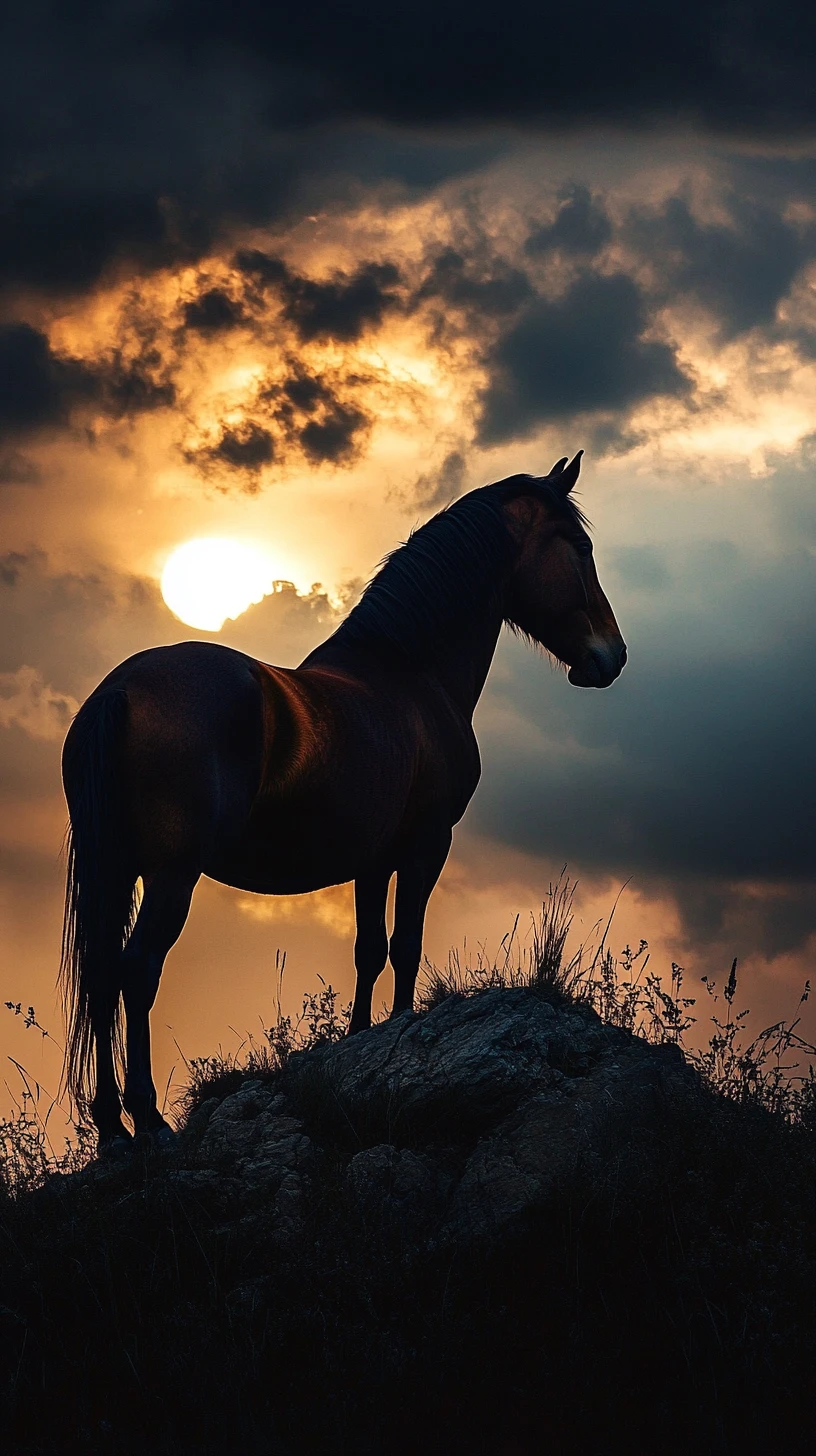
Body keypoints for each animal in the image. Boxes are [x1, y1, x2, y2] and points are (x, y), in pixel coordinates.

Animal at [60, 452, 626, 1151]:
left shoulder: (372, 861)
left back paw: (112, 1127)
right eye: (580, 546)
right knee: (136, 972)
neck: (408, 673)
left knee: (102, 974)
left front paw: (359, 1049)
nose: (611, 656)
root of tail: (121, 689)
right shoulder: (425, 846)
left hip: (114, 870)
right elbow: (406, 944)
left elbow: (369, 950)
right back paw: (148, 1120)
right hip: (170, 875)